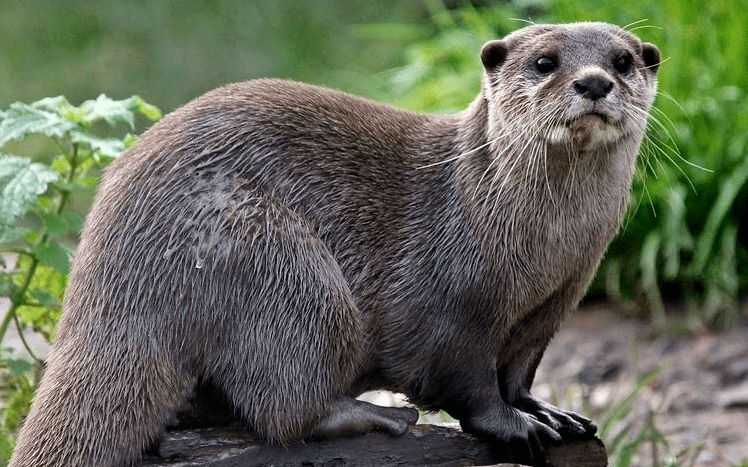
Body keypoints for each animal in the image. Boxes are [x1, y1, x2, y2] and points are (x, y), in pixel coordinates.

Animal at [8, 22, 656, 467]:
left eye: (623, 61)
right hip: (274, 261)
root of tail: (109, 264)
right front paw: (516, 426)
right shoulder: (454, 303)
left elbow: (519, 371)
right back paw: (377, 416)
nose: (593, 82)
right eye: (545, 62)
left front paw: (547, 411)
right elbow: (468, 383)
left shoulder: (555, 303)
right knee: (284, 407)